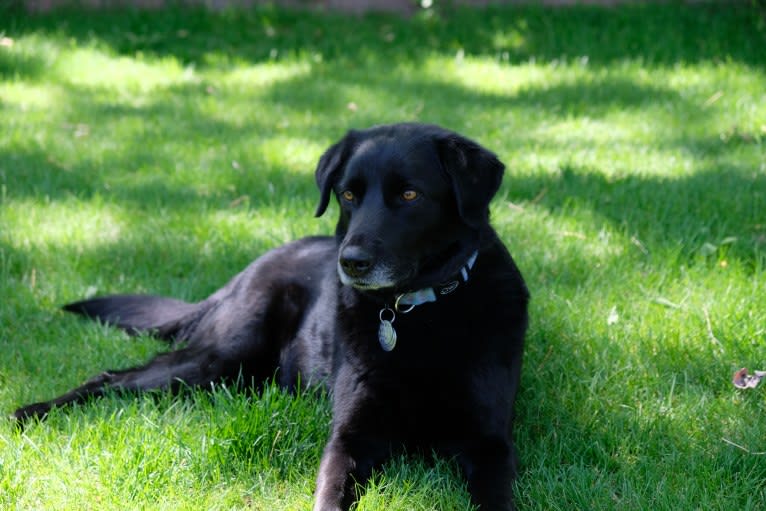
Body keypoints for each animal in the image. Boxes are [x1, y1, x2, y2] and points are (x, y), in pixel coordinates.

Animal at [13, 124, 528, 511]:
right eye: (347, 195)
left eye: (409, 194)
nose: (351, 262)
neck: (416, 311)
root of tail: (248, 269)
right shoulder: (350, 438)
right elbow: (330, 496)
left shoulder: (489, 444)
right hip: (222, 356)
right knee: (114, 376)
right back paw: (31, 412)